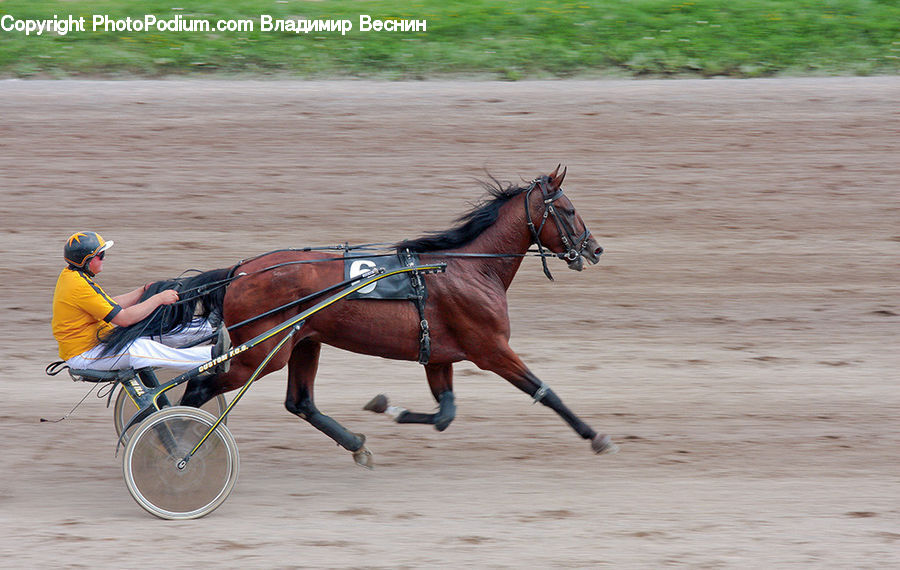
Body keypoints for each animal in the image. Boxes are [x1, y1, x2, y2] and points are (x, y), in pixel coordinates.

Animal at [101, 167, 616, 467]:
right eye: (569, 209)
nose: (594, 249)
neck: (467, 267)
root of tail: (240, 271)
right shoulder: (490, 349)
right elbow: (545, 392)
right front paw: (595, 436)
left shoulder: (440, 355)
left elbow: (445, 414)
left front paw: (387, 406)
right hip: (262, 352)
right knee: (198, 389)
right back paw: (177, 444)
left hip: (303, 341)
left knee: (300, 403)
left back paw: (355, 445)